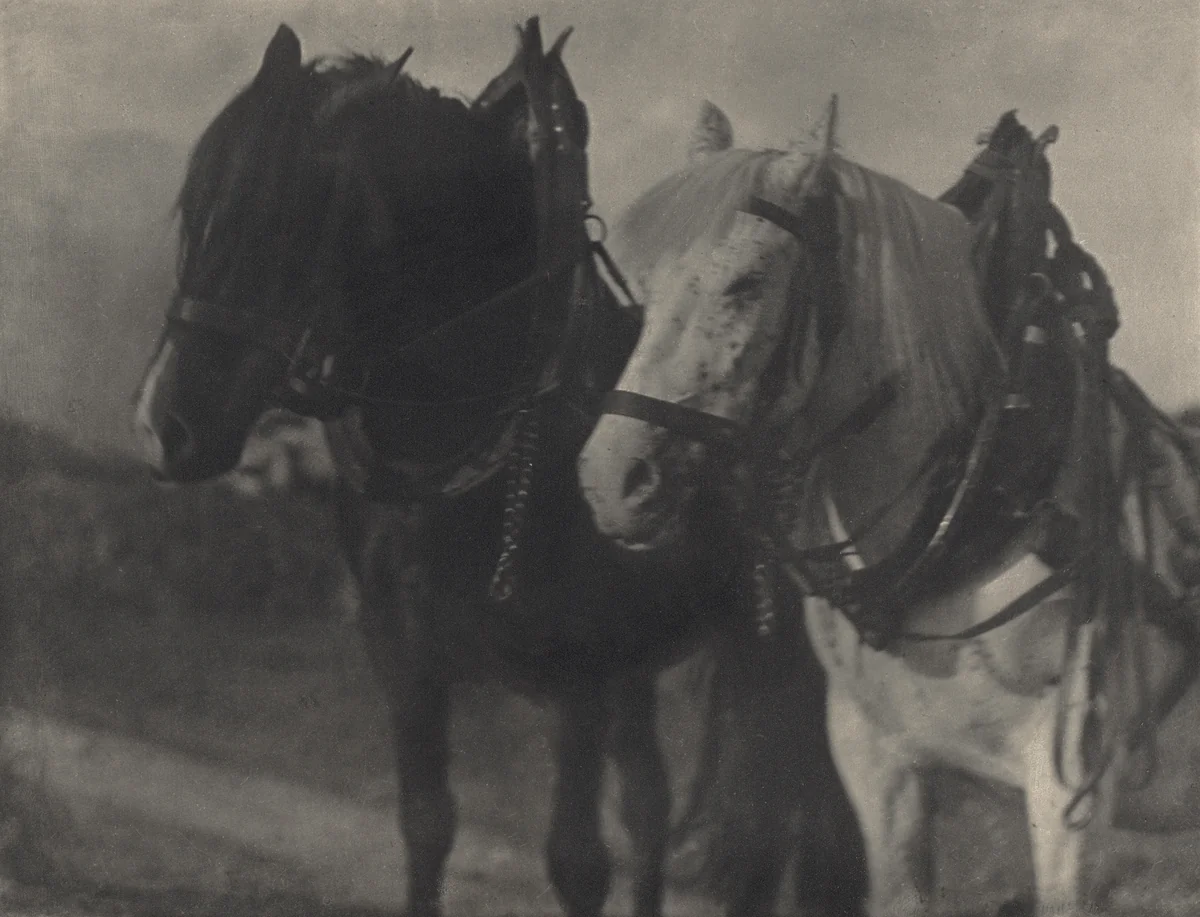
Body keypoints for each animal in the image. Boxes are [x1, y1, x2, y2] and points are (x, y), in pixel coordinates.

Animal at [131, 22, 867, 917]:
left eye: (282, 220)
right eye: (197, 210)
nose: (164, 425)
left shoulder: (577, 675)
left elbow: (577, 861)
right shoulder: (407, 663)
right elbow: (426, 824)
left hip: (782, 666)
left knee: (797, 830)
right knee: (654, 802)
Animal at [577, 102, 1200, 916]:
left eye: (746, 283)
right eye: (645, 290)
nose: (612, 478)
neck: (971, 504)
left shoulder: (1073, 789)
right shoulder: (877, 761)